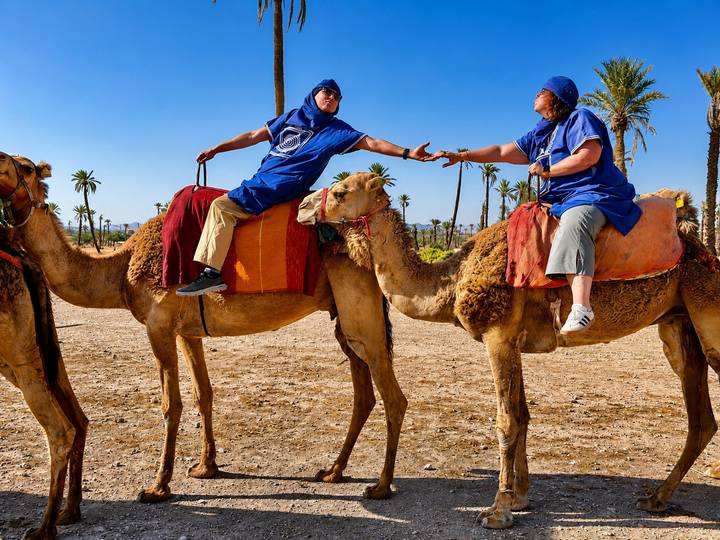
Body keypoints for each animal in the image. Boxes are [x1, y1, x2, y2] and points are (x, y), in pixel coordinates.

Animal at [0, 151, 407, 506]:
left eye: (26, 166)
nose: (1, 160)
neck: (120, 269)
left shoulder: (158, 326)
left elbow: (171, 404)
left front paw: (158, 486)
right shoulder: (188, 331)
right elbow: (203, 395)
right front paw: (205, 466)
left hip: (360, 309)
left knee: (393, 396)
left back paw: (380, 486)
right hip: (343, 319)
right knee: (363, 394)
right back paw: (334, 471)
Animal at [0, 230, 88, 540]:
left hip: (18, 352)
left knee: (61, 430)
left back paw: (44, 528)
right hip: (39, 345)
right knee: (79, 418)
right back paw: (69, 511)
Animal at [298, 172, 720, 529]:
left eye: (341, 192)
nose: (303, 205)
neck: (453, 278)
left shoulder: (497, 336)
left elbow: (505, 420)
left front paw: (497, 511)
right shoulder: (514, 340)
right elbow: (522, 415)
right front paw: (520, 498)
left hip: (707, 312)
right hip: (679, 326)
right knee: (701, 419)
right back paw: (656, 498)